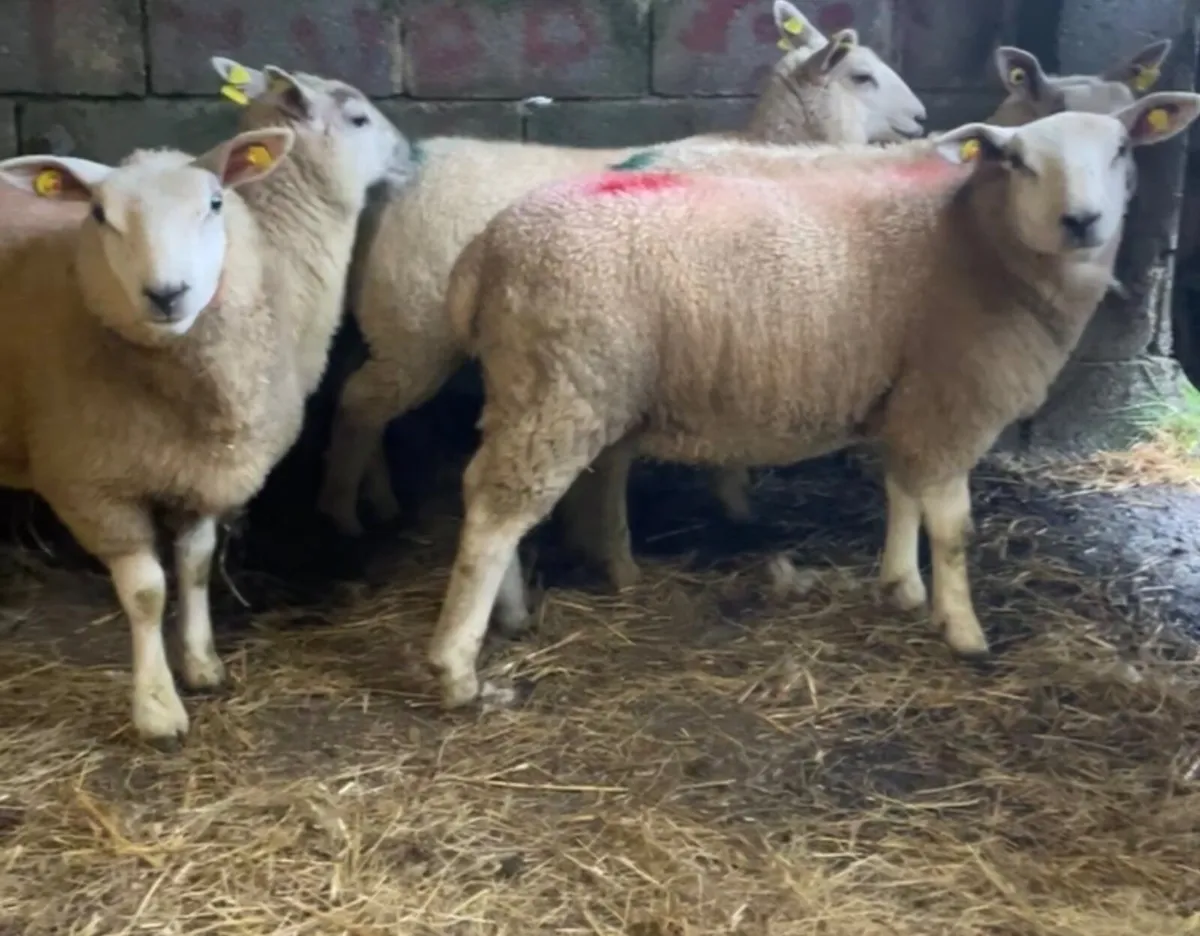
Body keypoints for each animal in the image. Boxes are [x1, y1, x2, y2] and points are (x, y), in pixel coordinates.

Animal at [0, 69, 404, 747]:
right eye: (99, 215)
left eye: (215, 203)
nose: (167, 294)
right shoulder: (92, 482)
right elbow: (146, 591)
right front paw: (158, 708)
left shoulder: (204, 467)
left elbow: (192, 566)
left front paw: (201, 663)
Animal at [304, 0, 928, 543]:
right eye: (863, 77)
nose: (922, 118)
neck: (772, 145)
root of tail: (391, 181)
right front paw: (737, 503)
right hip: (415, 328)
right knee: (360, 404)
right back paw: (342, 513)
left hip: (387, 326)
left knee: (362, 398)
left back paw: (376, 497)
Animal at [425, 93, 1200, 708]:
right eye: (1015, 160)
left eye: (1122, 148)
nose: (1083, 221)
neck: (980, 242)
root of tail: (483, 253)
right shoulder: (951, 395)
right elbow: (953, 528)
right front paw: (962, 630)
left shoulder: (908, 391)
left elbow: (901, 491)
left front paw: (901, 586)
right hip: (568, 382)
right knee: (497, 511)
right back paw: (457, 670)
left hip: (535, 384)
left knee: (489, 490)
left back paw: (514, 615)